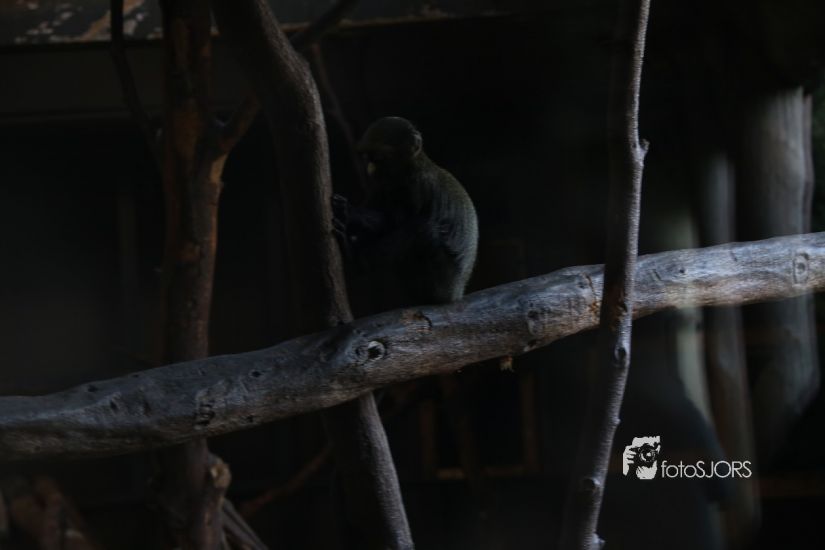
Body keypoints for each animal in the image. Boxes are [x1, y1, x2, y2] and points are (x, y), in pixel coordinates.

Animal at [333, 116, 478, 309]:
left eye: (379, 156)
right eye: (368, 156)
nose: (370, 168)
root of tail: (456, 293)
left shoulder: (416, 185)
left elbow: (397, 222)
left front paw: (350, 214)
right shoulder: (383, 185)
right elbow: (385, 220)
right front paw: (349, 216)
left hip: (441, 280)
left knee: (424, 229)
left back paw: (355, 259)